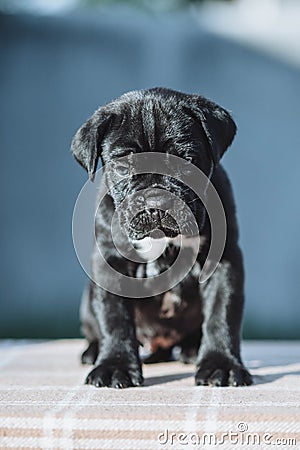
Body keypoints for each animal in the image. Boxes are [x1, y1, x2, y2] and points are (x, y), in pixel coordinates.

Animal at [71, 87, 252, 386]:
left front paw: (221, 364)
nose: (156, 200)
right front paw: (114, 365)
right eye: (123, 167)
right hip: (87, 299)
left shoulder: (224, 261)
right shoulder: (111, 264)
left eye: (187, 160)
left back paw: (192, 349)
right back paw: (94, 351)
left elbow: (221, 312)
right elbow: (114, 317)